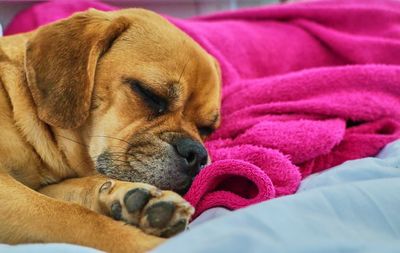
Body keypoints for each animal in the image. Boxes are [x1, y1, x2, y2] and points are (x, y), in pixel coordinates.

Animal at [0, 7, 220, 253]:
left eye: (207, 129)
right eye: (149, 94)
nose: (197, 154)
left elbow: (74, 190)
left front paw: (131, 197)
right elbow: (79, 218)